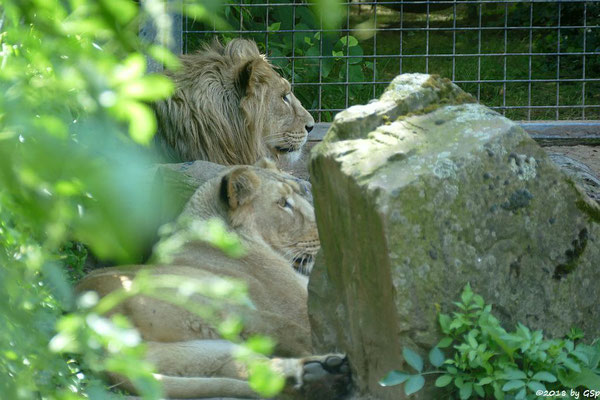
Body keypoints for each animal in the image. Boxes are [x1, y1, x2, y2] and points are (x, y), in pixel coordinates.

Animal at [77, 163, 350, 400]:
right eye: (283, 203)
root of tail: (92, 324)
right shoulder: (298, 307)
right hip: (223, 308)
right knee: (294, 338)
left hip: (188, 352)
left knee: (237, 366)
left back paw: (319, 377)